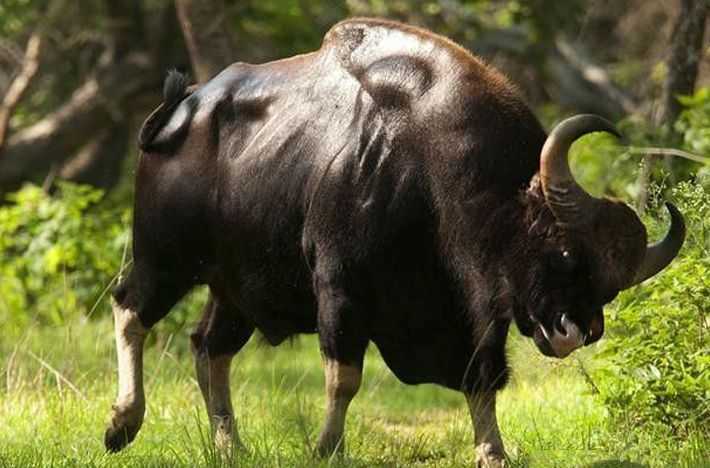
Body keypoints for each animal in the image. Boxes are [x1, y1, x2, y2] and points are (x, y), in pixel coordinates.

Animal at [103, 17, 688, 464]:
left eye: (609, 286)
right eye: (564, 251)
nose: (575, 333)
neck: (432, 167)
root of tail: (179, 111)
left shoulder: (475, 309)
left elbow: (483, 377)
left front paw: (492, 451)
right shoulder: (340, 289)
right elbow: (344, 377)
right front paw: (328, 447)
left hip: (234, 288)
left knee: (208, 347)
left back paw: (230, 445)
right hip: (164, 257)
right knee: (129, 308)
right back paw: (123, 424)